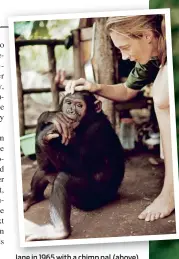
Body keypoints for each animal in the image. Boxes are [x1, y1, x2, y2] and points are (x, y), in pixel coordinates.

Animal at [23, 91, 124, 242]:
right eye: (68, 103)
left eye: (79, 105)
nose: (70, 111)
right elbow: (45, 164)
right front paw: (48, 117)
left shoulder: (96, 130)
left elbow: (80, 167)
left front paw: (45, 133)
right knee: (44, 170)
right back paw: (32, 198)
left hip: (90, 200)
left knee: (63, 179)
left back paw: (60, 231)